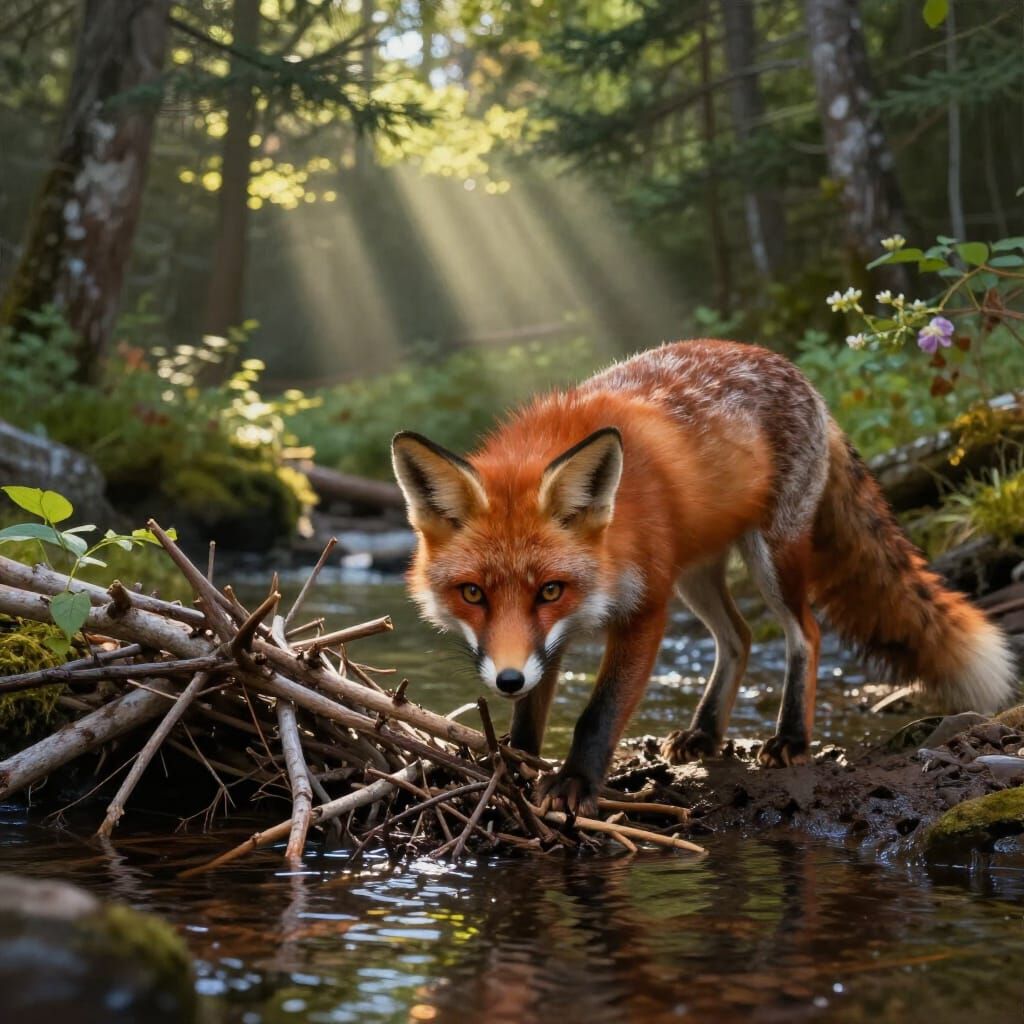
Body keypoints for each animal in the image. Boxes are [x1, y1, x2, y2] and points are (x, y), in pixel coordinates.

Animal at [391, 339, 1018, 814]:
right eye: (473, 593)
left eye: (549, 589)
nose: (506, 679)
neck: (615, 534)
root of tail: (805, 382)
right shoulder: (553, 638)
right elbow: (531, 713)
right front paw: (517, 762)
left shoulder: (644, 608)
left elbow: (598, 714)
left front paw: (575, 783)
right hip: (695, 575)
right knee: (737, 637)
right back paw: (706, 733)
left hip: (770, 559)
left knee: (806, 633)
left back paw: (790, 737)